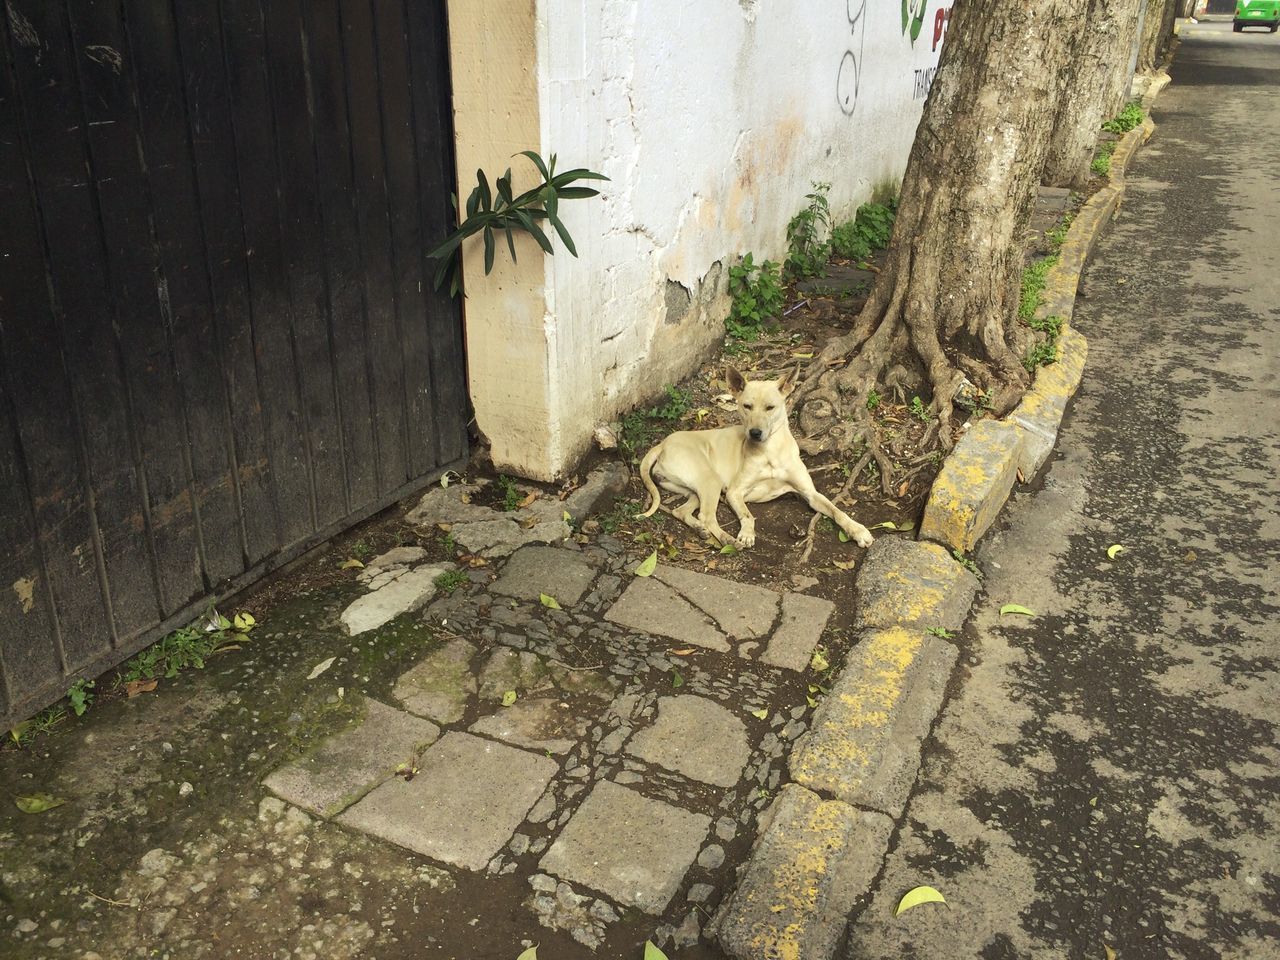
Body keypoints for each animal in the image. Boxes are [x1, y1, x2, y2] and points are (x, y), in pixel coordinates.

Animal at [637, 366, 870, 547]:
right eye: (746, 406)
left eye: (770, 407)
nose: (755, 433)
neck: (770, 451)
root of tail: (663, 443)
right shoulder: (734, 492)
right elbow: (748, 515)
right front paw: (747, 534)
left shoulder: (810, 494)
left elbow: (837, 510)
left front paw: (858, 530)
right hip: (710, 481)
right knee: (706, 516)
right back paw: (727, 539)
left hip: (695, 490)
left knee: (681, 511)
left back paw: (700, 530)